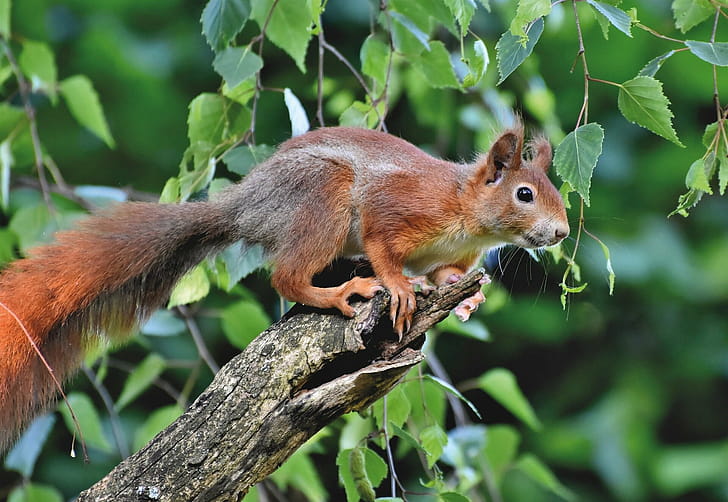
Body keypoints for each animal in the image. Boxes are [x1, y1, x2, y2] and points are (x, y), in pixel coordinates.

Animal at [0, 125, 568, 451]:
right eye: (524, 194)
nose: (563, 233)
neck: (467, 214)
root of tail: (248, 206)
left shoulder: (450, 255)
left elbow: (445, 275)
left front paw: (468, 296)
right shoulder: (396, 207)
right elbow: (385, 249)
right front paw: (398, 287)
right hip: (322, 200)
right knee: (286, 277)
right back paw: (338, 294)